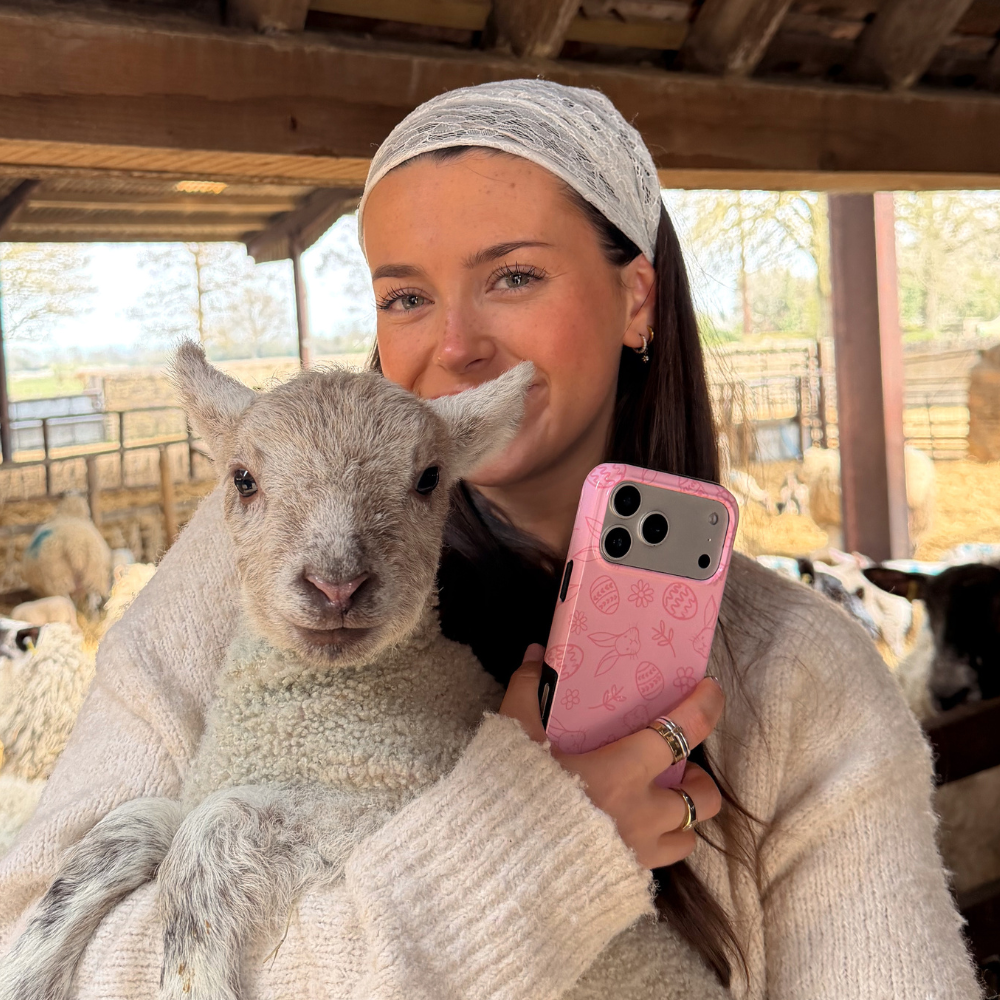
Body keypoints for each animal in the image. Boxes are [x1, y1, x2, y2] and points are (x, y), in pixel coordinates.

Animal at [0, 343, 534, 1000]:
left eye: (429, 478)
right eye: (243, 479)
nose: (337, 585)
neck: (294, 731)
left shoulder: (390, 801)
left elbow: (210, 832)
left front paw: (193, 983)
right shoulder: (203, 787)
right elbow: (118, 832)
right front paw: (26, 972)